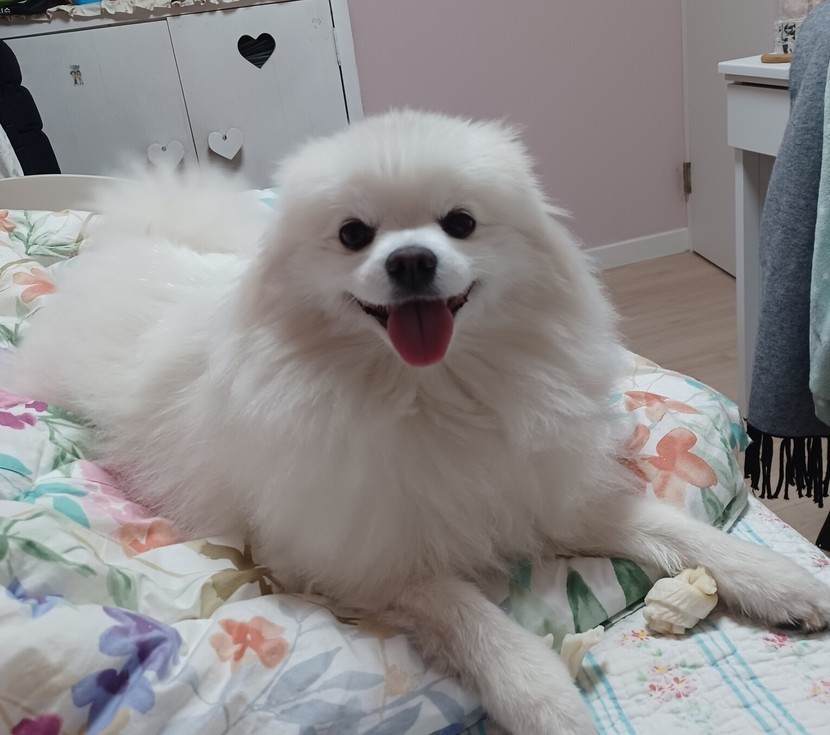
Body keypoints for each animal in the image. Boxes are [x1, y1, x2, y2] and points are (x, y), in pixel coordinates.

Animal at [4, 110, 830, 734]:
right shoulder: (362, 558)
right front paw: (541, 694)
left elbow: (671, 528)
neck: (433, 392)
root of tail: (150, 239)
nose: (409, 261)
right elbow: (470, 614)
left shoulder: (545, 493)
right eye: (353, 235)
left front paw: (778, 579)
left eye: (459, 223)